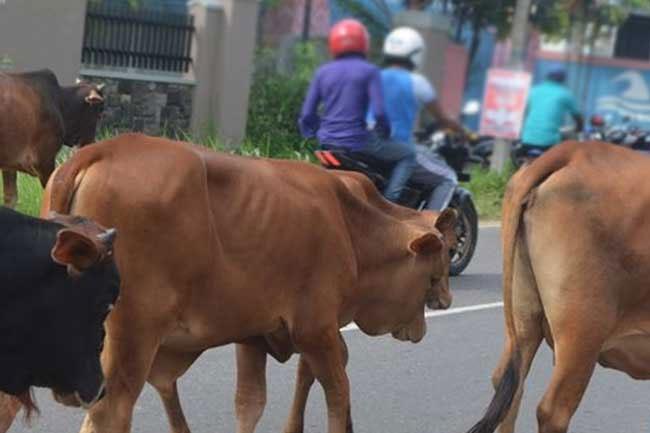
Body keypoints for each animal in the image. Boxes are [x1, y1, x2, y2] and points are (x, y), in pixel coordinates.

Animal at [0, 69, 104, 208]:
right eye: (99, 113)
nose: (90, 143)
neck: (60, 103)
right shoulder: (44, 160)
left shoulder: (9, 164)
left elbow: (11, 198)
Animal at [40, 133, 455, 433]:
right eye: (434, 274)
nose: (445, 303)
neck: (353, 225)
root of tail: (100, 150)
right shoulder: (316, 327)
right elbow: (337, 393)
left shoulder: (255, 333)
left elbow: (251, 403)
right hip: (133, 333)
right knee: (111, 411)